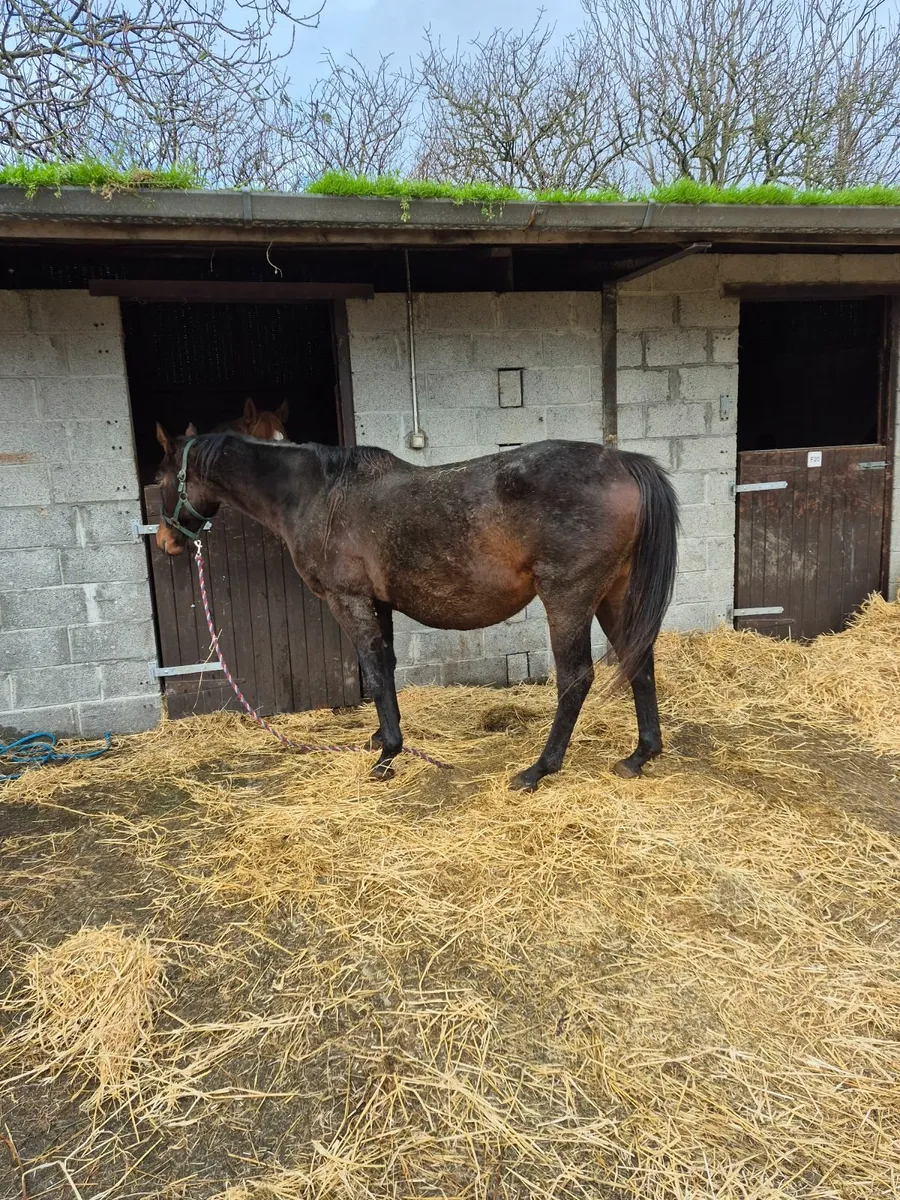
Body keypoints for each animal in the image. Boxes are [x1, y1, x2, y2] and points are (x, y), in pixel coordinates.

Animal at [153, 427, 679, 791]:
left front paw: (386, 757)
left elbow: (374, 670)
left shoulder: (349, 601)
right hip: (613, 596)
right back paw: (639, 756)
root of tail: (625, 462)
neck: (319, 494)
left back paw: (537, 770)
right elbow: (384, 667)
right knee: (639, 663)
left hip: (569, 597)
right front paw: (381, 740)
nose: (164, 543)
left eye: (158, 477)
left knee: (575, 678)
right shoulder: (379, 603)